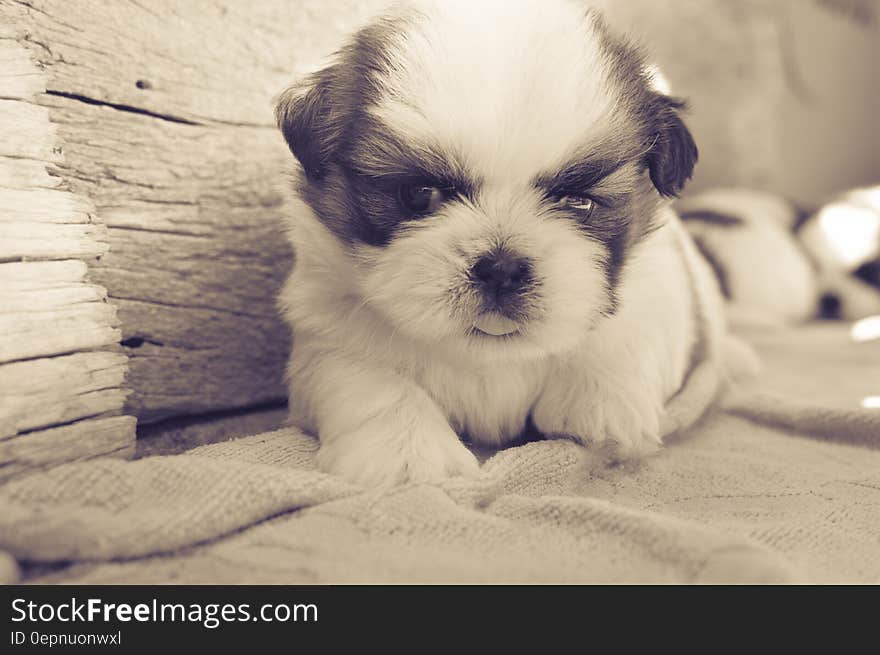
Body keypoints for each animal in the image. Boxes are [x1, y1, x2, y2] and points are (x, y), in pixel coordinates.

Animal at [276, 0, 728, 484]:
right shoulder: (327, 328)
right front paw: (405, 451)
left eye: (578, 201)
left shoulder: (657, 287)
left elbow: (623, 332)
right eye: (419, 194)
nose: (502, 268)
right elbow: (366, 378)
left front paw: (600, 402)